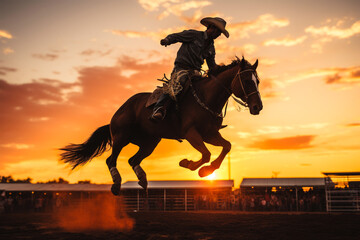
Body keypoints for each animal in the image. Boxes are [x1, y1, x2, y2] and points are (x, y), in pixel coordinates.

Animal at [60, 55, 262, 195]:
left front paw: (206, 170)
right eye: (246, 81)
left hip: (150, 143)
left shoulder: (210, 134)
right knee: (111, 160)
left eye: (257, 81)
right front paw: (191, 165)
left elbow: (226, 146)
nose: (257, 106)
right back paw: (117, 185)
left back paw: (143, 181)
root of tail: (120, 109)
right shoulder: (191, 134)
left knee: (133, 160)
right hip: (121, 137)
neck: (206, 97)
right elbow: (205, 154)